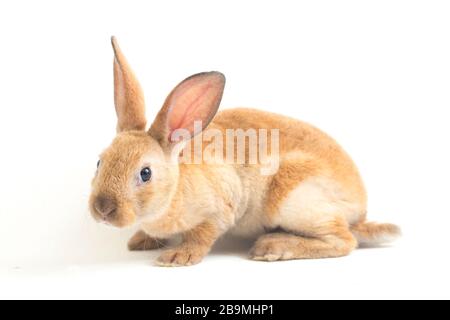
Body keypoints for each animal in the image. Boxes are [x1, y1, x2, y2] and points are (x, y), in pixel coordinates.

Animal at [89, 37, 400, 268]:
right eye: (99, 162)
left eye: (145, 173)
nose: (103, 209)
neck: (174, 188)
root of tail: (360, 212)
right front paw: (139, 241)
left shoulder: (220, 210)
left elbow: (202, 236)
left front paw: (178, 257)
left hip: (296, 200)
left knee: (343, 241)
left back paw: (273, 246)